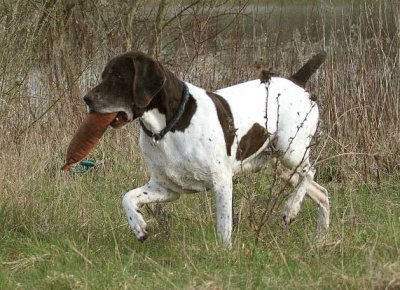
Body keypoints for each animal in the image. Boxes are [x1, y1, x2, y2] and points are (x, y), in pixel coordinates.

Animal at [83, 51, 328, 246]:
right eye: (103, 75)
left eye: (118, 76)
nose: (86, 99)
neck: (168, 128)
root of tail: (295, 82)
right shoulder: (166, 188)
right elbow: (127, 197)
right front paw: (138, 225)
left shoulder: (222, 182)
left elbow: (224, 227)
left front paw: (224, 254)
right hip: (282, 168)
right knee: (322, 193)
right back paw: (320, 239)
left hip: (291, 152)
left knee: (311, 172)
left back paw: (291, 208)